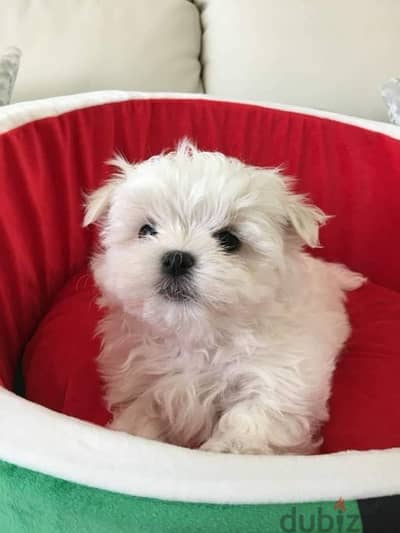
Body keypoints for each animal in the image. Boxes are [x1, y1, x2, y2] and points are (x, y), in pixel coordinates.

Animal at [84, 140, 366, 454]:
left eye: (230, 240)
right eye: (146, 230)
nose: (176, 259)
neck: (196, 334)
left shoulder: (276, 382)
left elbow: (247, 424)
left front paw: (222, 451)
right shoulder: (142, 379)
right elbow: (143, 414)